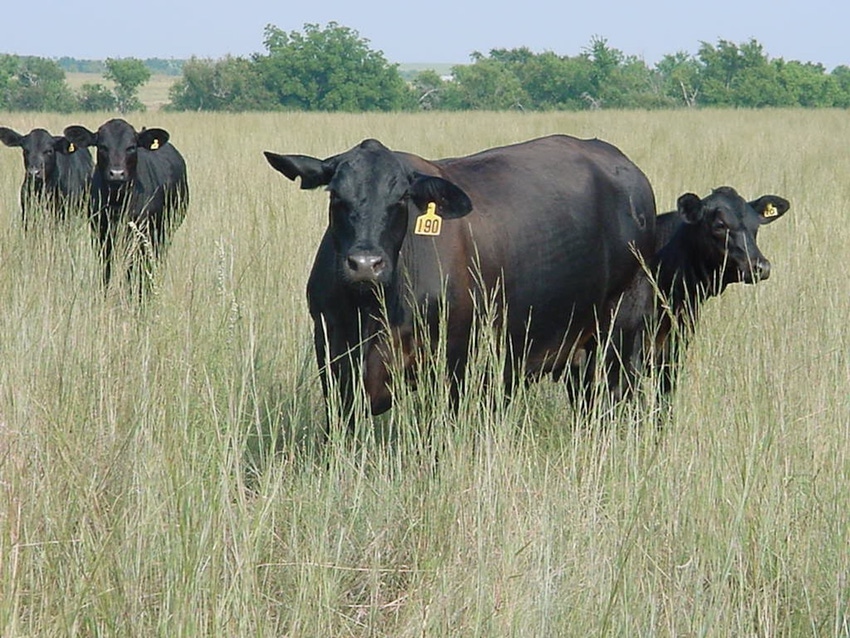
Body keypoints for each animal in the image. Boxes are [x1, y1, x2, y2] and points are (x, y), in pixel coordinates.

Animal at [63, 119, 189, 290]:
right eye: (102, 146)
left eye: (131, 147)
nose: (117, 174)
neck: (118, 201)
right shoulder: (101, 234)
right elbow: (106, 271)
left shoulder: (143, 235)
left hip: (165, 231)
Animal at [264, 137, 656, 432]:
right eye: (336, 196)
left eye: (401, 198)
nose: (365, 264)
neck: (374, 311)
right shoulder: (333, 351)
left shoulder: (452, 359)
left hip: (620, 330)